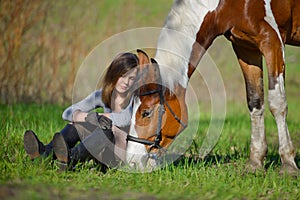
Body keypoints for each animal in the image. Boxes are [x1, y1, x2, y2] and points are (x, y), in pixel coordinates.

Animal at [126, 0, 298, 174]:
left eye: (146, 113)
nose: (132, 162)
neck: (228, 5)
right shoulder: (246, 48)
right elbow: (255, 101)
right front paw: (255, 163)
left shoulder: (272, 42)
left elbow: (277, 103)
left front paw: (288, 164)